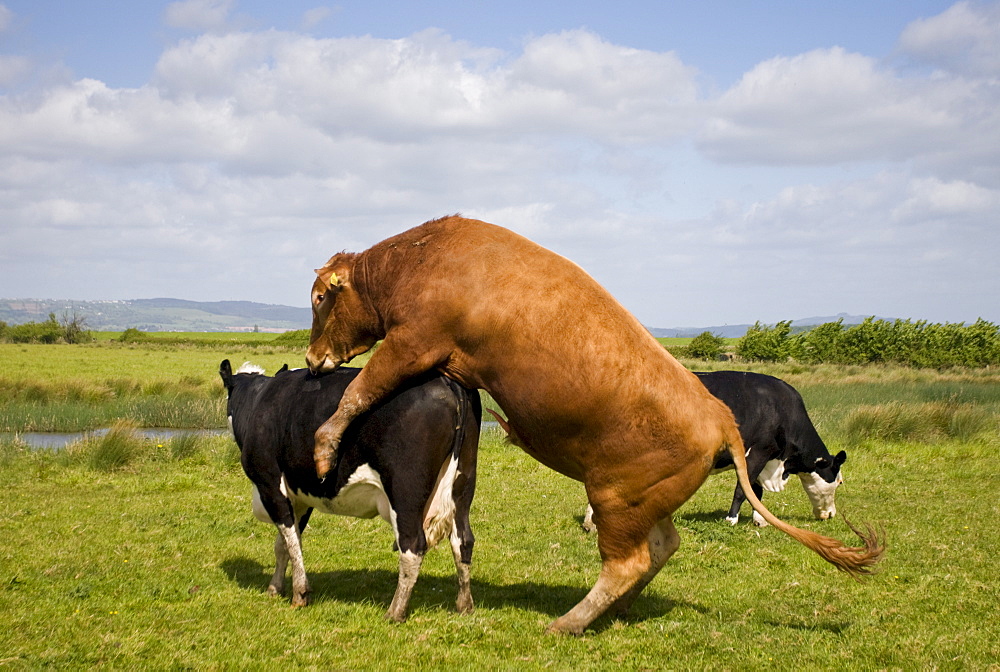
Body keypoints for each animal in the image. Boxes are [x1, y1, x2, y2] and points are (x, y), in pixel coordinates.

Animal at [220, 360, 484, 624]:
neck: (258, 400)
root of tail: (446, 380)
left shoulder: (269, 484)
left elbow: (289, 540)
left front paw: (299, 593)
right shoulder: (301, 497)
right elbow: (284, 544)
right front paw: (276, 587)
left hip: (405, 490)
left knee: (413, 545)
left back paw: (395, 612)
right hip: (463, 484)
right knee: (463, 540)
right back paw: (464, 605)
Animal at [580, 372, 844, 532]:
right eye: (839, 481)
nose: (831, 514)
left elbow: (755, 491)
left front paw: (760, 520)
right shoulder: (758, 451)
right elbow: (743, 489)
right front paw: (731, 519)